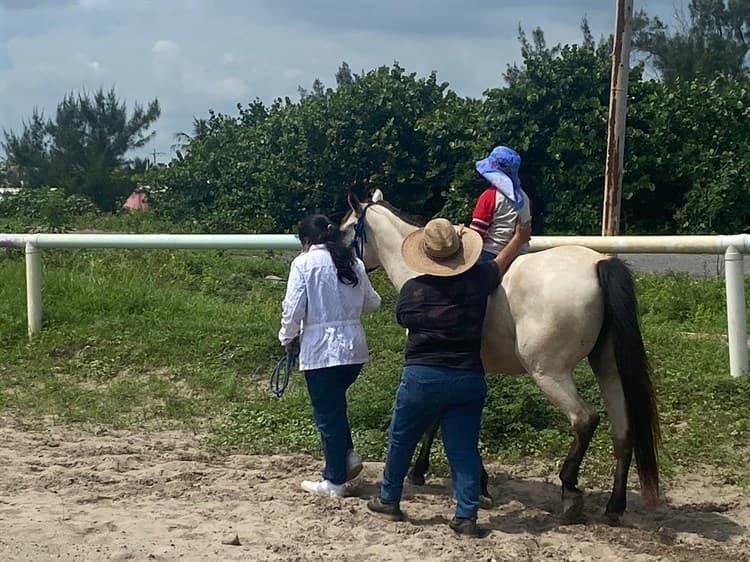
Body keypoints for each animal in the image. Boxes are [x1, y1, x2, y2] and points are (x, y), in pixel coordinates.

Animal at [342, 188, 664, 520]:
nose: (344, 267)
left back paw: (570, 489)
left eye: (345, 229)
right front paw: (424, 472)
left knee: (585, 419)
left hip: (548, 373)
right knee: (623, 431)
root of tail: (598, 263)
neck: (426, 271)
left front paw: (461, 480)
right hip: (608, 370)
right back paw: (614, 506)